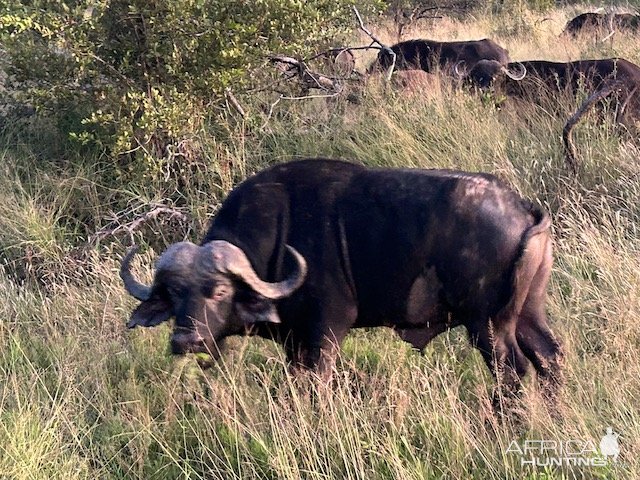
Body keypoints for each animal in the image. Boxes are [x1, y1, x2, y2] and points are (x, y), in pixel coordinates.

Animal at [122, 159, 564, 406]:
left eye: (218, 290)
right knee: (550, 359)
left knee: (514, 372)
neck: (280, 234)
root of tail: (522, 207)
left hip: (487, 326)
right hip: (528, 315)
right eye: (174, 294)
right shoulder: (295, 341)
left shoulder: (327, 330)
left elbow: (318, 386)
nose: (186, 341)